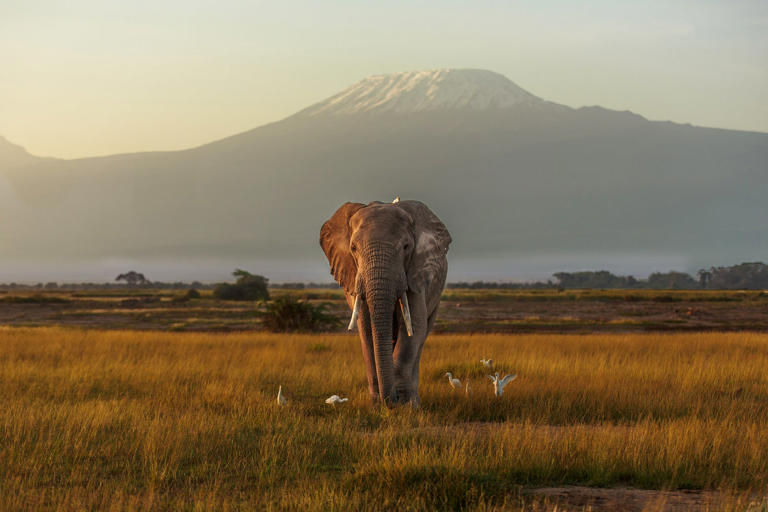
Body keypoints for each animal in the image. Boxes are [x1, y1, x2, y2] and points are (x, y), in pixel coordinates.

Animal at [318, 198, 450, 406]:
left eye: (406, 247)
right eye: (353, 248)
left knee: (422, 337)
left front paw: (407, 407)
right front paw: (377, 405)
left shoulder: (416, 272)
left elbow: (414, 327)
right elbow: (366, 329)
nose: (392, 401)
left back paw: (415, 401)